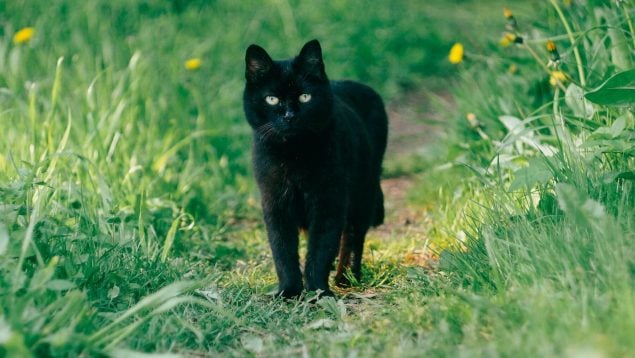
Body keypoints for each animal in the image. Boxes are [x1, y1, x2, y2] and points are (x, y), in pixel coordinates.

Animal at [241, 39, 388, 298]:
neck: (294, 155)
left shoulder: (328, 201)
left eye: (304, 97)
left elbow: (320, 248)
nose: (289, 116)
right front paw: (289, 291)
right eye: (272, 99)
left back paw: (347, 277)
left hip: (363, 191)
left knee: (353, 235)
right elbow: (283, 250)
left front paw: (318, 292)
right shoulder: (275, 202)